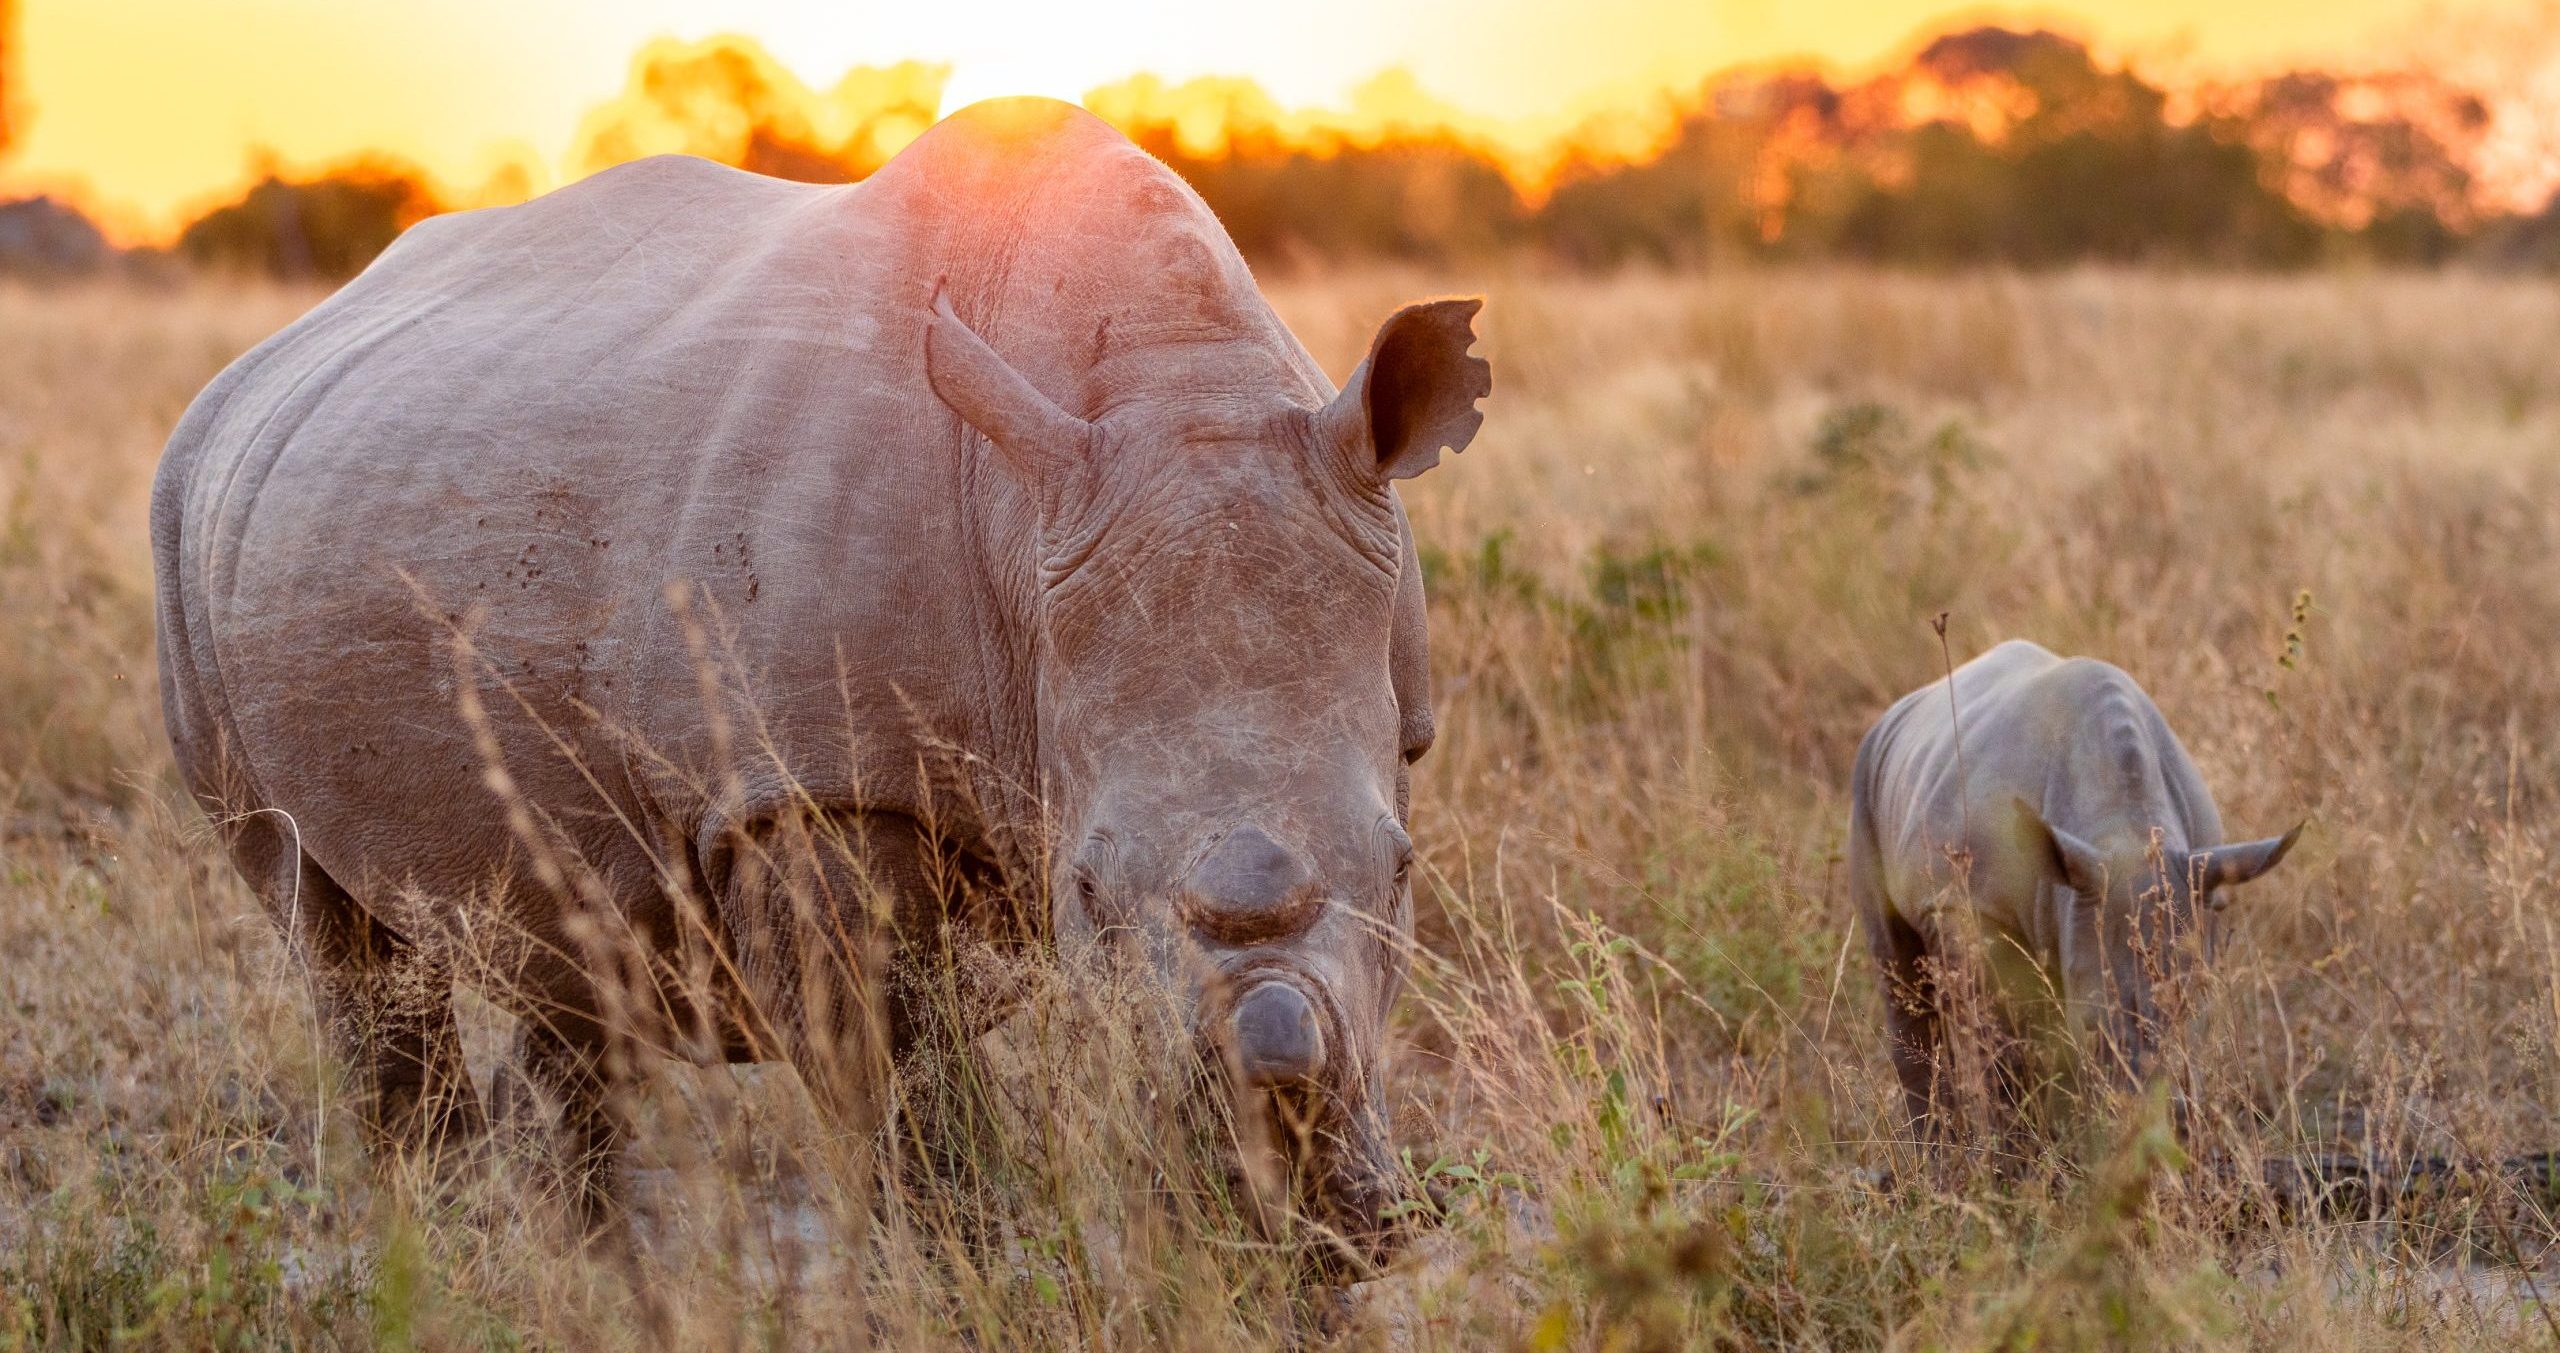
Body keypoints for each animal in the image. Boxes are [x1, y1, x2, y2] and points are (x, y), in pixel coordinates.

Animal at [149, 97, 1489, 1272]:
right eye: (1084, 892)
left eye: (1406, 872)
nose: (1292, 1195)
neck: (1178, 381)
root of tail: (266, 356)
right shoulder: (805, 788)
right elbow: (913, 1120)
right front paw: (980, 1287)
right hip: (184, 536)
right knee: (341, 952)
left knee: (571, 970)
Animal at [1847, 639, 2299, 1138]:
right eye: (2090, 1026)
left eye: (2198, 1012)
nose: (2164, 1122)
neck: (2121, 825)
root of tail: (1902, 709)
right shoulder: (1970, 907)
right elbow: (2000, 1046)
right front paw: (2016, 1149)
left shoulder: (2205, 888)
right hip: (1868, 786)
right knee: (1901, 972)